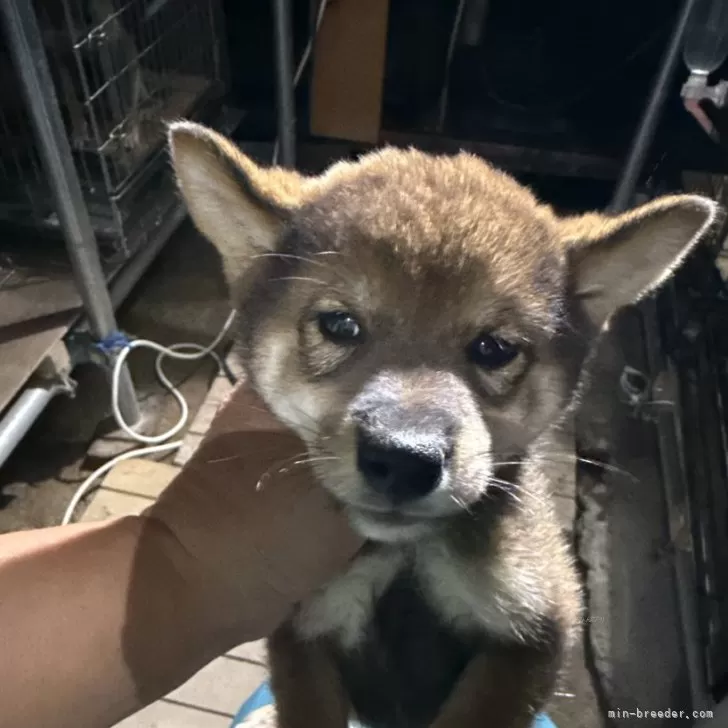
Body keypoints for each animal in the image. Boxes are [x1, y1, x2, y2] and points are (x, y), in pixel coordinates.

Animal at [166, 121, 716, 728]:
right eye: (339, 324)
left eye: (494, 348)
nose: (403, 460)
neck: (404, 556)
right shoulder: (302, 631)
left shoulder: (536, 628)